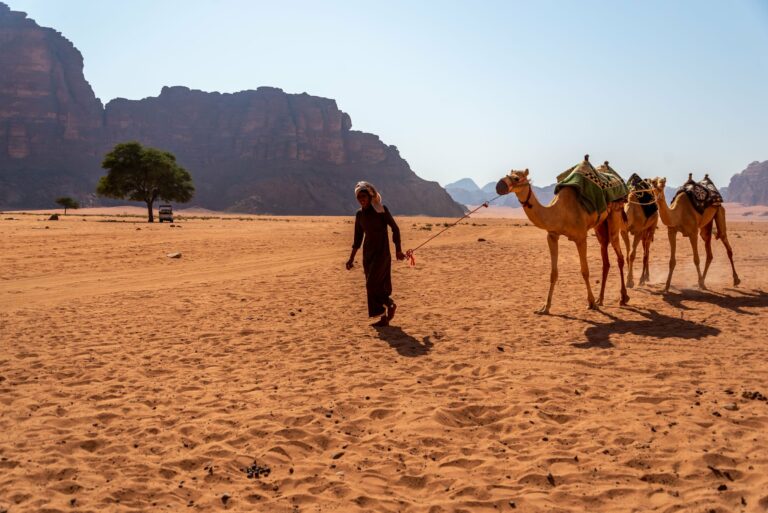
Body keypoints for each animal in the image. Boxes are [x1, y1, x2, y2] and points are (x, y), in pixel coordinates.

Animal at [495, 156, 629, 314]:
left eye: (516, 178)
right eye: (508, 174)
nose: (499, 185)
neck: (559, 212)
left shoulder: (581, 237)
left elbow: (585, 271)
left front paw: (590, 303)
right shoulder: (552, 235)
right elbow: (553, 273)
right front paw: (545, 307)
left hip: (615, 214)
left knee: (619, 256)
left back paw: (623, 298)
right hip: (601, 225)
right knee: (605, 259)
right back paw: (600, 299)